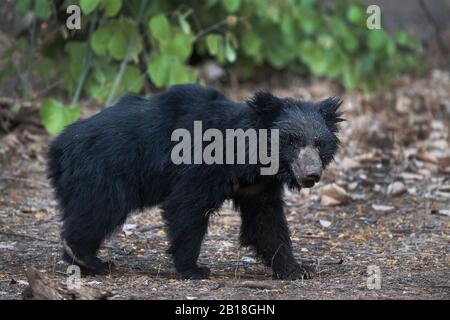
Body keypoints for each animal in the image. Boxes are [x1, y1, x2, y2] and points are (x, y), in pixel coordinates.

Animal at [47, 85, 342, 280]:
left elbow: (266, 222)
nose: (312, 174)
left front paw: (297, 269)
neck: (251, 159)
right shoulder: (203, 163)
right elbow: (187, 205)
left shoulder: (257, 185)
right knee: (98, 210)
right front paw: (194, 269)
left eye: (319, 143)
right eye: (292, 141)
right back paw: (87, 259)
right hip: (103, 171)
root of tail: (57, 147)